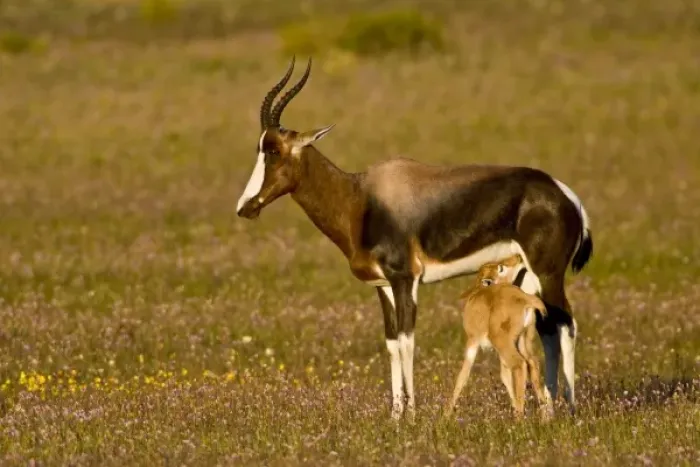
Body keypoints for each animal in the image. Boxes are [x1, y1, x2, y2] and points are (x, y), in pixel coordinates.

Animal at [445, 254, 554, 420]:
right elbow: (504, 376)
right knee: (532, 363)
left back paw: (520, 417)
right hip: (522, 341)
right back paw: (545, 415)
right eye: (499, 266)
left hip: (503, 343)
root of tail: (524, 298)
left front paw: (445, 415)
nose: (518, 257)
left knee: (519, 364)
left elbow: (462, 376)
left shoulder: (472, 342)